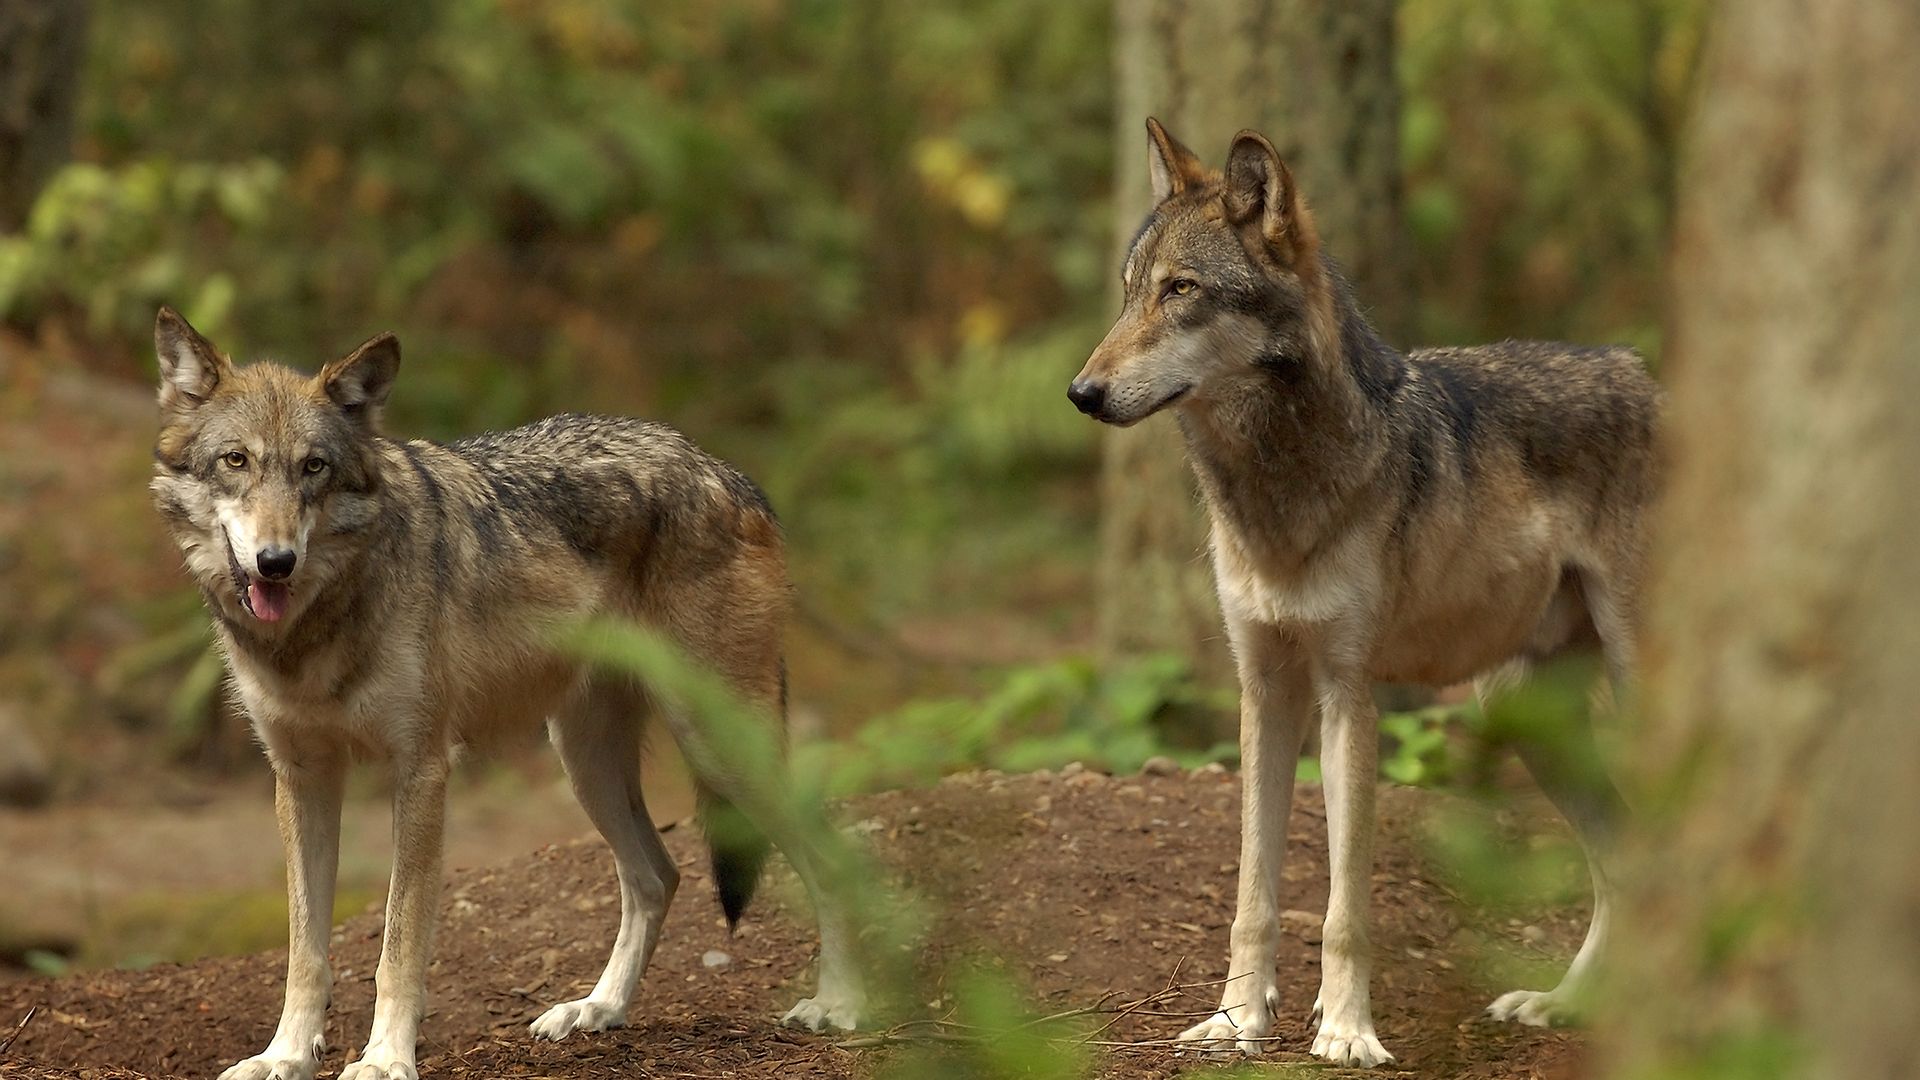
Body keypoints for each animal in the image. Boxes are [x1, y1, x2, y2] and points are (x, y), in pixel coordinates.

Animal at [148, 309, 865, 1080]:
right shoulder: (302, 776)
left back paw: (840, 1005)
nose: (275, 562)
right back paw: (599, 1010)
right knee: (658, 876)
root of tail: (730, 473)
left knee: (832, 858)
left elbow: (398, 946)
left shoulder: (423, 772)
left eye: (314, 467)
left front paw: (384, 1058)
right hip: (587, 762)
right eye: (236, 462)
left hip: (717, 747)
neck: (319, 624)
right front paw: (283, 1056)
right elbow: (305, 953)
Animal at [1068, 120, 1659, 1067]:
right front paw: (1237, 1022)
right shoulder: (1265, 690)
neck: (1277, 489)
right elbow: (1252, 896)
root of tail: (1652, 376)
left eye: (1182, 289)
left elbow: (1345, 909)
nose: (1081, 393)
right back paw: (1567, 1004)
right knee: (1624, 859)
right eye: (1129, 294)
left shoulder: (1349, 692)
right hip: (1524, 712)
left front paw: (1346, 1032)